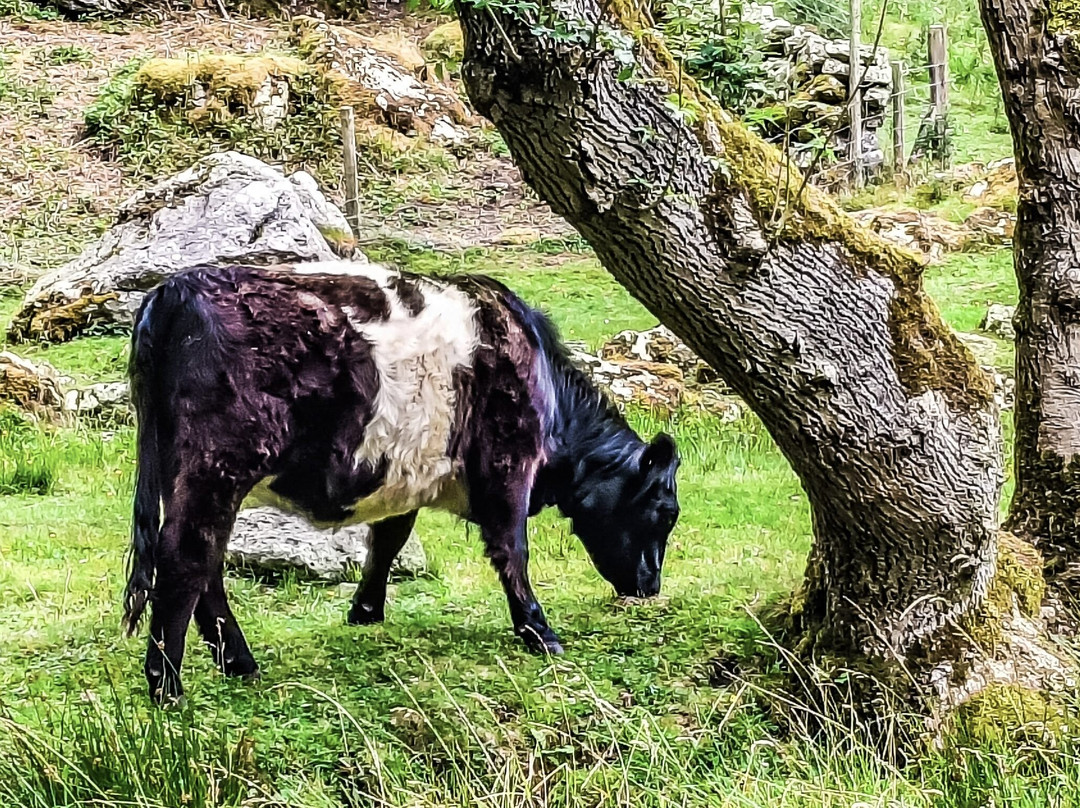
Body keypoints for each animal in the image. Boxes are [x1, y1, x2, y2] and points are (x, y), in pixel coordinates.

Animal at [122, 261, 680, 703]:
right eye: (665, 511)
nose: (651, 586)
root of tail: (176, 289)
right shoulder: (508, 464)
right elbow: (511, 549)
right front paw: (539, 632)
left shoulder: (405, 472)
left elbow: (389, 539)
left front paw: (365, 611)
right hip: (216, 466)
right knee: (185, 560)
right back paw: (168, 688)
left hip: (189, 473)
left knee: (205, 565)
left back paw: (237, 663)